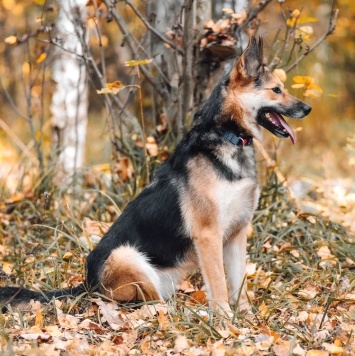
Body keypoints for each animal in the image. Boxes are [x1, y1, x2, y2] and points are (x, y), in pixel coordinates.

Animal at [0, 36, 312, 314]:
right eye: (276, 90)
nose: (307, 108)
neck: (227, 136)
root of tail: (86, 286)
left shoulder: (237, 234)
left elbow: (239, 284)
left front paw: (246, 319)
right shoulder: (208, 235)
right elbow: (220, 285)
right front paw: (225, 321)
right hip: (126, 255)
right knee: (148, 305)